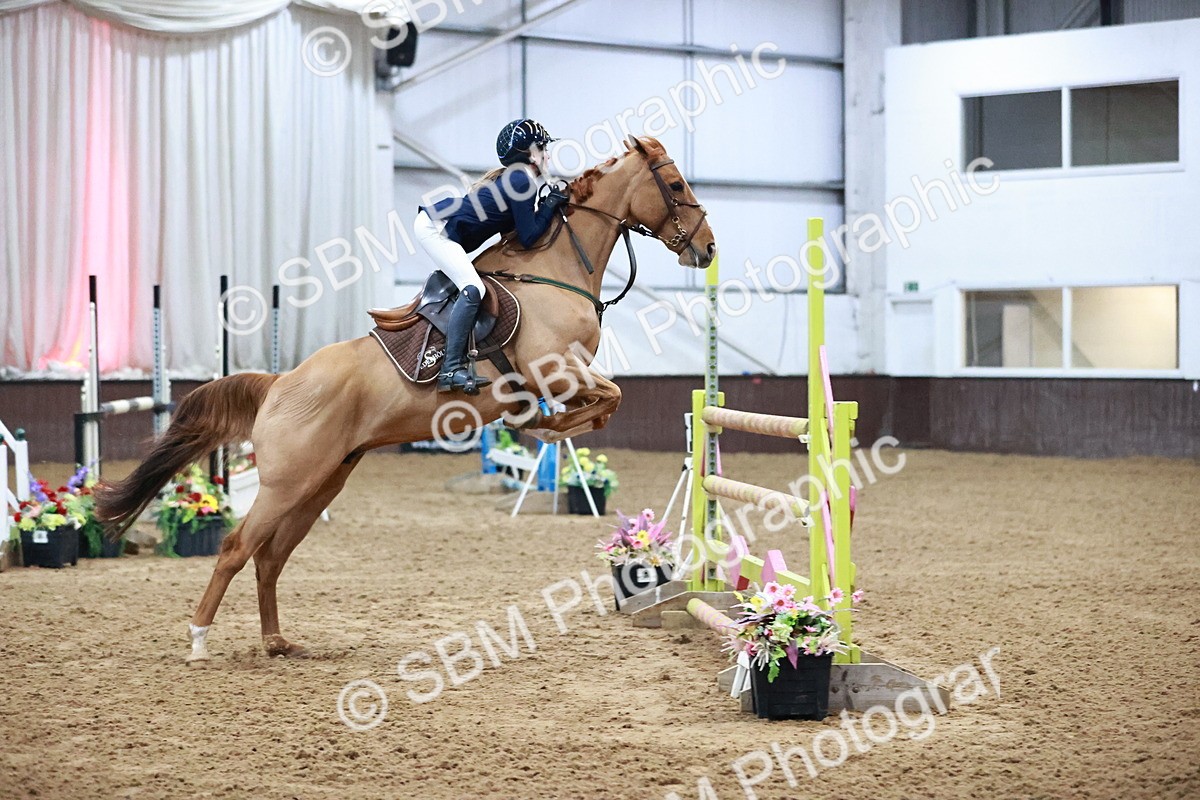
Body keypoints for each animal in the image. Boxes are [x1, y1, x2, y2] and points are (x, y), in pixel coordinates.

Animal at [95, 135, 716, 664]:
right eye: (675, 184)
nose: (708, 249)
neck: (554, 269)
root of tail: (280, 384)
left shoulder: (569, 374)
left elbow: (605, 402)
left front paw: (543, 426)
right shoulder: (557, 371)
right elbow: (608, 397)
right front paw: (545, 426)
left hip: (323, 482)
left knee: (269, 557)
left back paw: (276, 642)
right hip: (286, 484)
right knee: (234, 547)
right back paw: (199, 639)